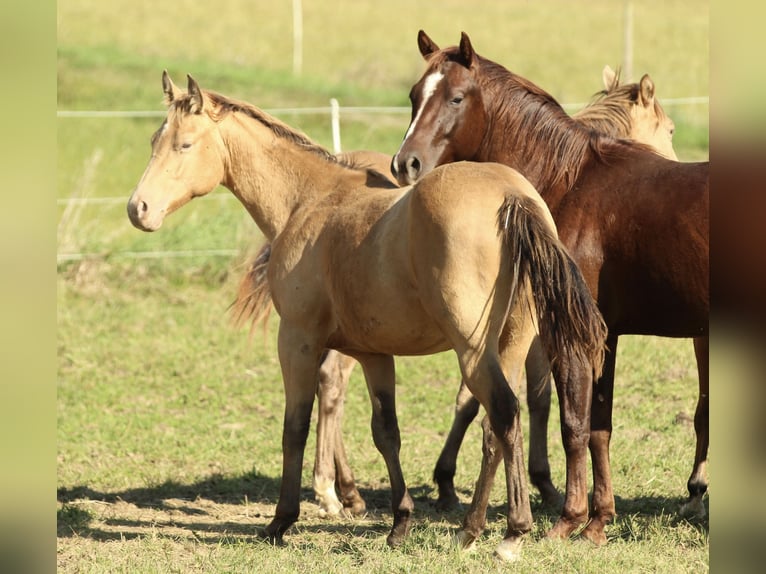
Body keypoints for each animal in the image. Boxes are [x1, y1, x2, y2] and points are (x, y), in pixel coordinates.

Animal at [126, 72, 607, 560]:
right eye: (153, 141)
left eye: (184, 144)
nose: (138, 208)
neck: (308, 200)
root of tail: (512, 197)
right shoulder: (374, 355)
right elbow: (386, 433)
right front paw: (399, 524)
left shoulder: (296, 341)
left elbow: (294, 427)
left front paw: (281, 521)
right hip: (509, 345)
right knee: (494, 427)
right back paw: (469, 529)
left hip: (473, 351)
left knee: (505, 414)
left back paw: (511, 533)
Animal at [302, 64, 680, 518]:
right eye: (670, 129)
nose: (673, 163)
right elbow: (516, 398)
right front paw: (520, 483)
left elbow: (506, 400)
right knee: (332, 382)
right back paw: (336, 488)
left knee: (329, 381)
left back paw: (344, 488)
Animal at [391, 31, 709, 545]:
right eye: (415, 96)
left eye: (456, 97)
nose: (405, 164)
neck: (571, 181)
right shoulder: (604, 335)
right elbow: (598, 427)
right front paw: (598, 520)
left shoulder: (570, 334)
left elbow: (572, 425)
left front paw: (568, 518)